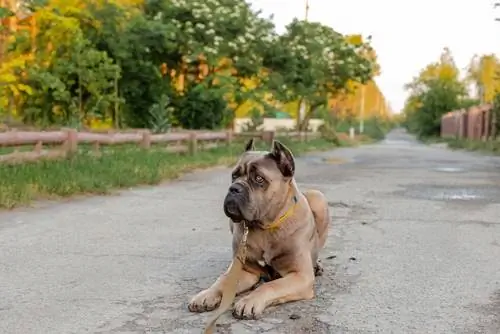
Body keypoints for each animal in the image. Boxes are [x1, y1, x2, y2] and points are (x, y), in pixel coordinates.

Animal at [188, 138, 328, 318]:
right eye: (234, 175)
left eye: (259, 179)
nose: (234, 188)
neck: (265, 226)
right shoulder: (246, 271)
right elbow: (223, 281)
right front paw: (207, 294)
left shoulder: (300, 275)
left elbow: (271, 285)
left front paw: (249, 301)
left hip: (318, 197)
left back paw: (317, 265)